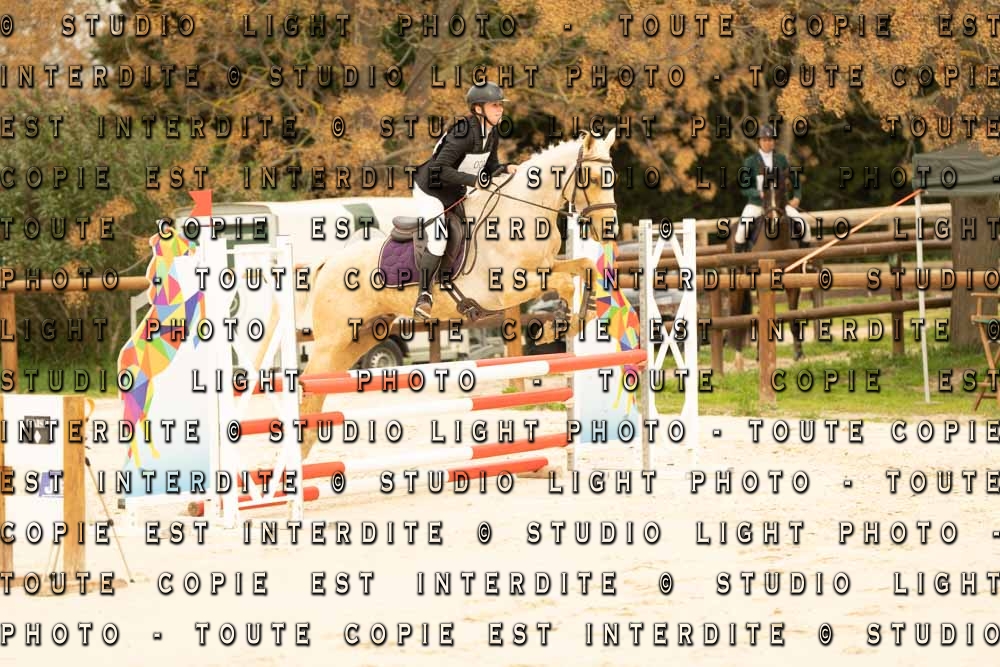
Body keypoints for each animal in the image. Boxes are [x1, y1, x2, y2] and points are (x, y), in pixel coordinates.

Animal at [296, 130, 620, 461]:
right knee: (307, 382)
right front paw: (554, 329)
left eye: (613, 178)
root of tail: (328, 262)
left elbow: (583, 267)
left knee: (322, 385)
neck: (523, 214)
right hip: (332, 339)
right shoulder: (508, 288)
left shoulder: (546, 266)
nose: (609, 228)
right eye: (593, 178)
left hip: (363, 335)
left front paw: (576, 318)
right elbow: (565, 282)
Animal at [726, 165, 807, 366]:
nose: (773, 219)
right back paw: (739, 357)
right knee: (737, 314)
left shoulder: (793, 284)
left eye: (785, 186)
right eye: (764, 188)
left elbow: (793, 317)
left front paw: (799, 354)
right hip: (736, 286)